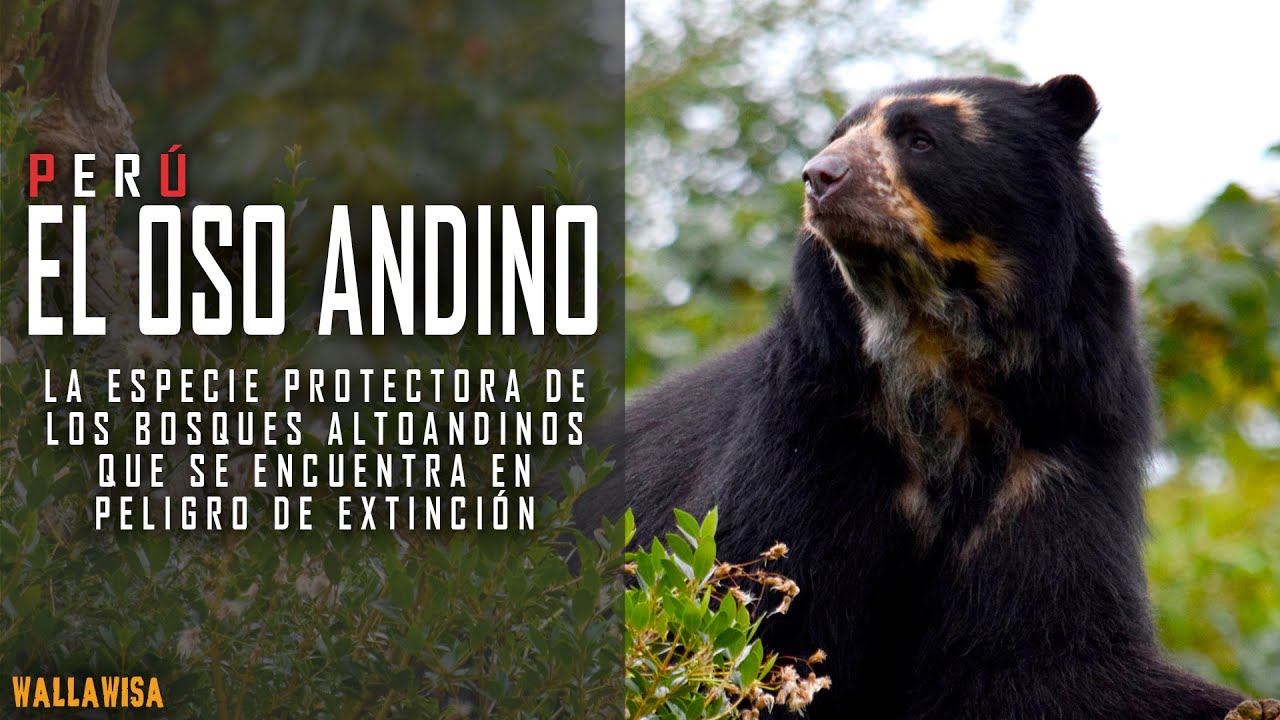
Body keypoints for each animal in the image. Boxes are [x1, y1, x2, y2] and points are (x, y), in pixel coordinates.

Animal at [625, 75, 1276, 719]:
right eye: (838, 136)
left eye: (920, 140)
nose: (819, 175)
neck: (937, 358)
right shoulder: (813, 430)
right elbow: (753, 615)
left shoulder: (1056, 455)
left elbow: (1040, 655)